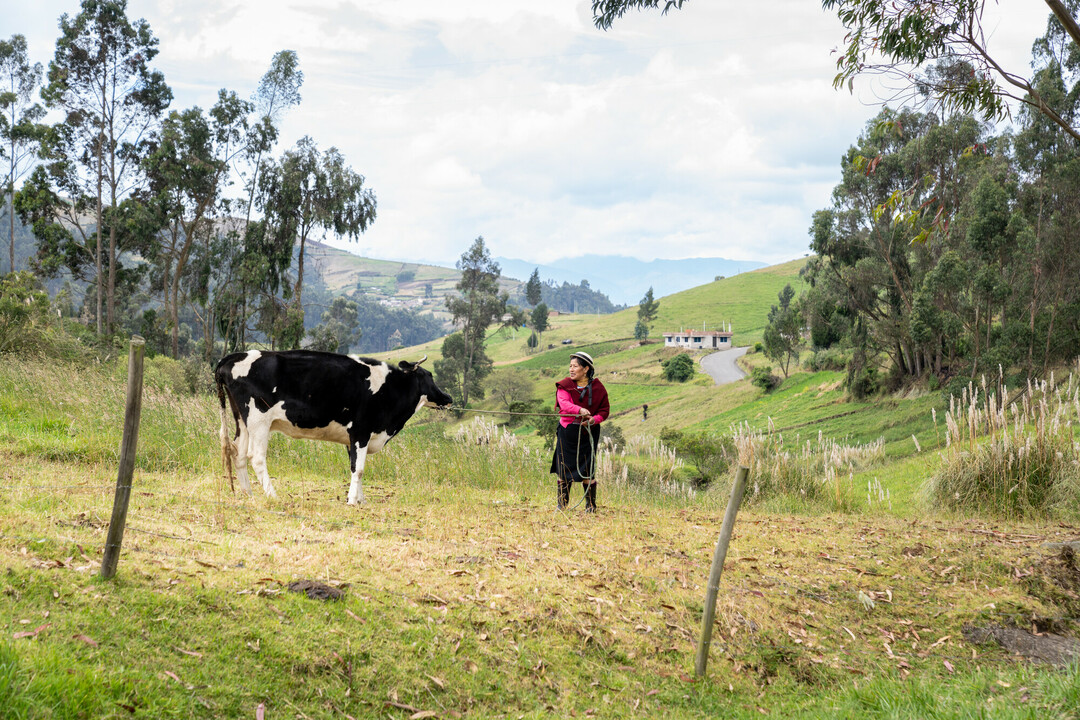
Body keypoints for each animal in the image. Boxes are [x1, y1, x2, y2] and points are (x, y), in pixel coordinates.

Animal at [212, 351, 453, 505]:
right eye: (429, 376)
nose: (448, 398)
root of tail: (233, 357)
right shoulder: (361, 431)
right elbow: (360, 468)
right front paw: (353, 501)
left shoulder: (351, 438)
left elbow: (354, 466)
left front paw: (359, 498)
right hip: (258, 420)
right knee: (256, 457)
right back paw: (272, 496)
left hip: (242, 421)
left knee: (238, 454)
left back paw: (248, 494)